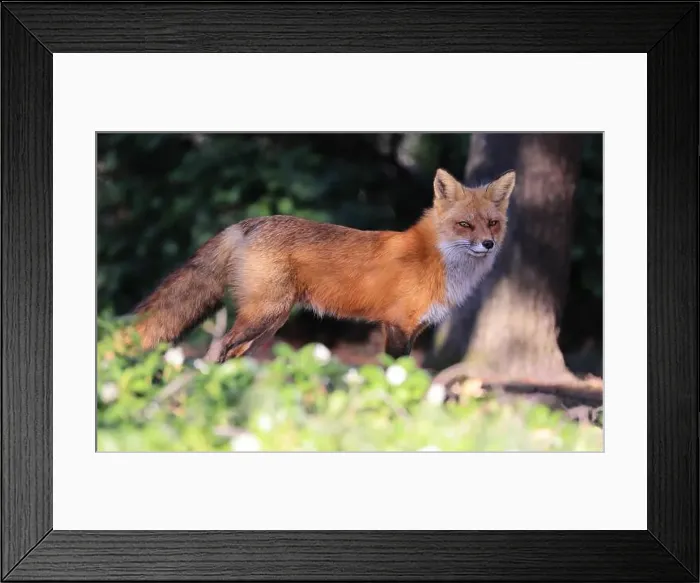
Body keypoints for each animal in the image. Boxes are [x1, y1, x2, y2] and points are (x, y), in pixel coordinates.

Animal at [126, 167, 515, 363]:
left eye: (492, 224)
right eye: (465, 225)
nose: (488, 244)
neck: (438, 259)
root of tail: (250, 222)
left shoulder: (413, 330)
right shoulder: (397, 326)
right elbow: (393, 376)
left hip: (269, 324)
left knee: (230, 355)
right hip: (264, 316)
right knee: (215, 349)